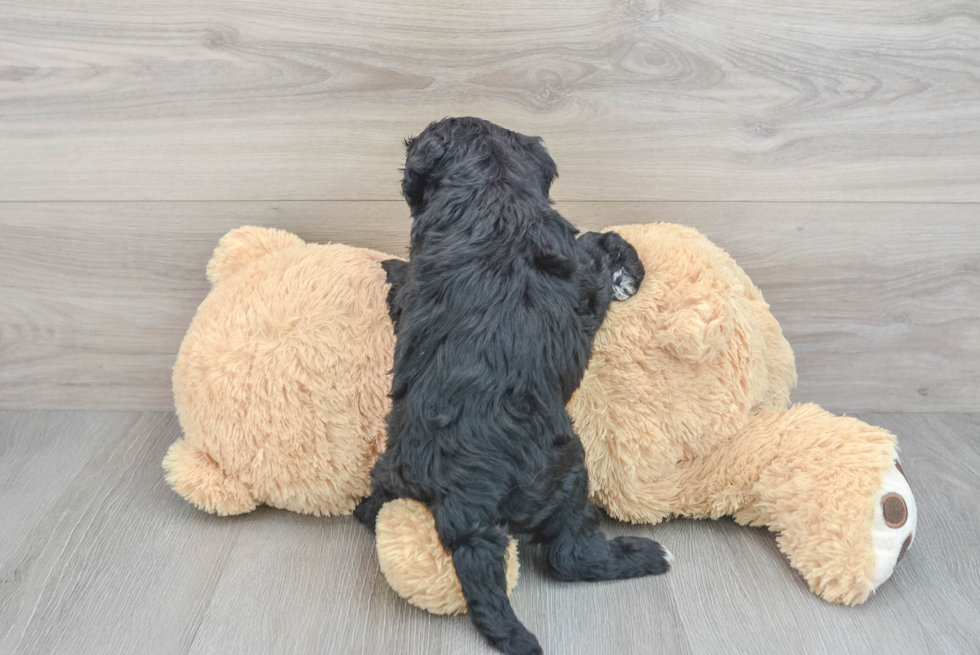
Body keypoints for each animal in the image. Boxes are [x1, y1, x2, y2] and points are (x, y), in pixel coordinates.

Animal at [356, 119, 668, 655]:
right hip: (566, 474)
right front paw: (627, 267)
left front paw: (391, 270)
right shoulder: (582, 276)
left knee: (371, 507)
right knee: (571, 555)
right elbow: (600, 246)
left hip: (393, 467)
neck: (491, 189)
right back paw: (646, 554)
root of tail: (460, 506)